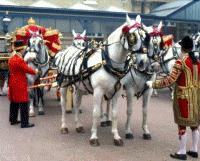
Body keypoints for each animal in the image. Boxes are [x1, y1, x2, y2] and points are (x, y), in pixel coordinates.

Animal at [55, 14, 146, 146]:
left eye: (144, 36)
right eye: (132, 37)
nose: (142, 62)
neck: (108, 62)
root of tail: (67, 50)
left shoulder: (116, 92)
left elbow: (114, 113)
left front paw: (116, 136)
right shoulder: (98, 91)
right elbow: (96, 112)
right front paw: (94, 137)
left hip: (80, 87)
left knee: (77, 104)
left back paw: (78, 125)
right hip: (64, 85)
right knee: (62, 104)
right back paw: (64, 126)